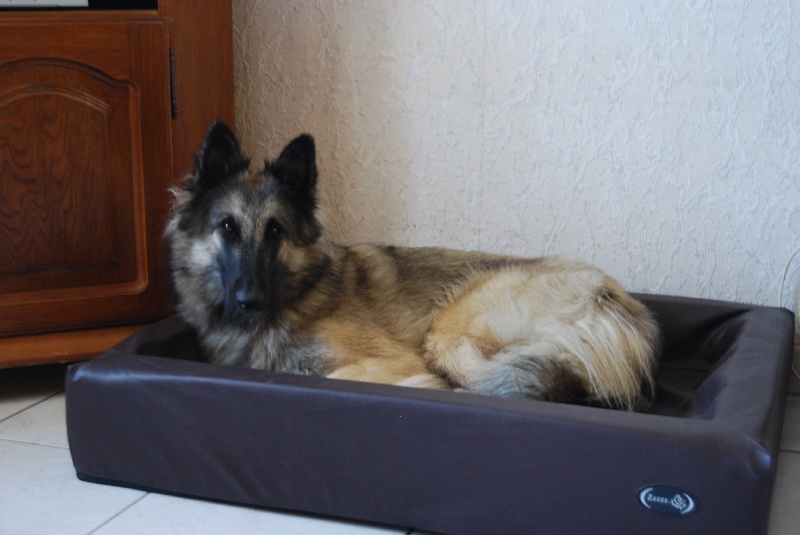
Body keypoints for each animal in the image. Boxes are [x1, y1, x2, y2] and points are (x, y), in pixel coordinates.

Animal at [166, 121, 660, 411]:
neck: (299, 296)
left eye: (275, 231)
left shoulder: (388, 360)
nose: (249, 300)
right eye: (227, 227)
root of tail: (619, 303)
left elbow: (344, 375)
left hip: (450, 330)